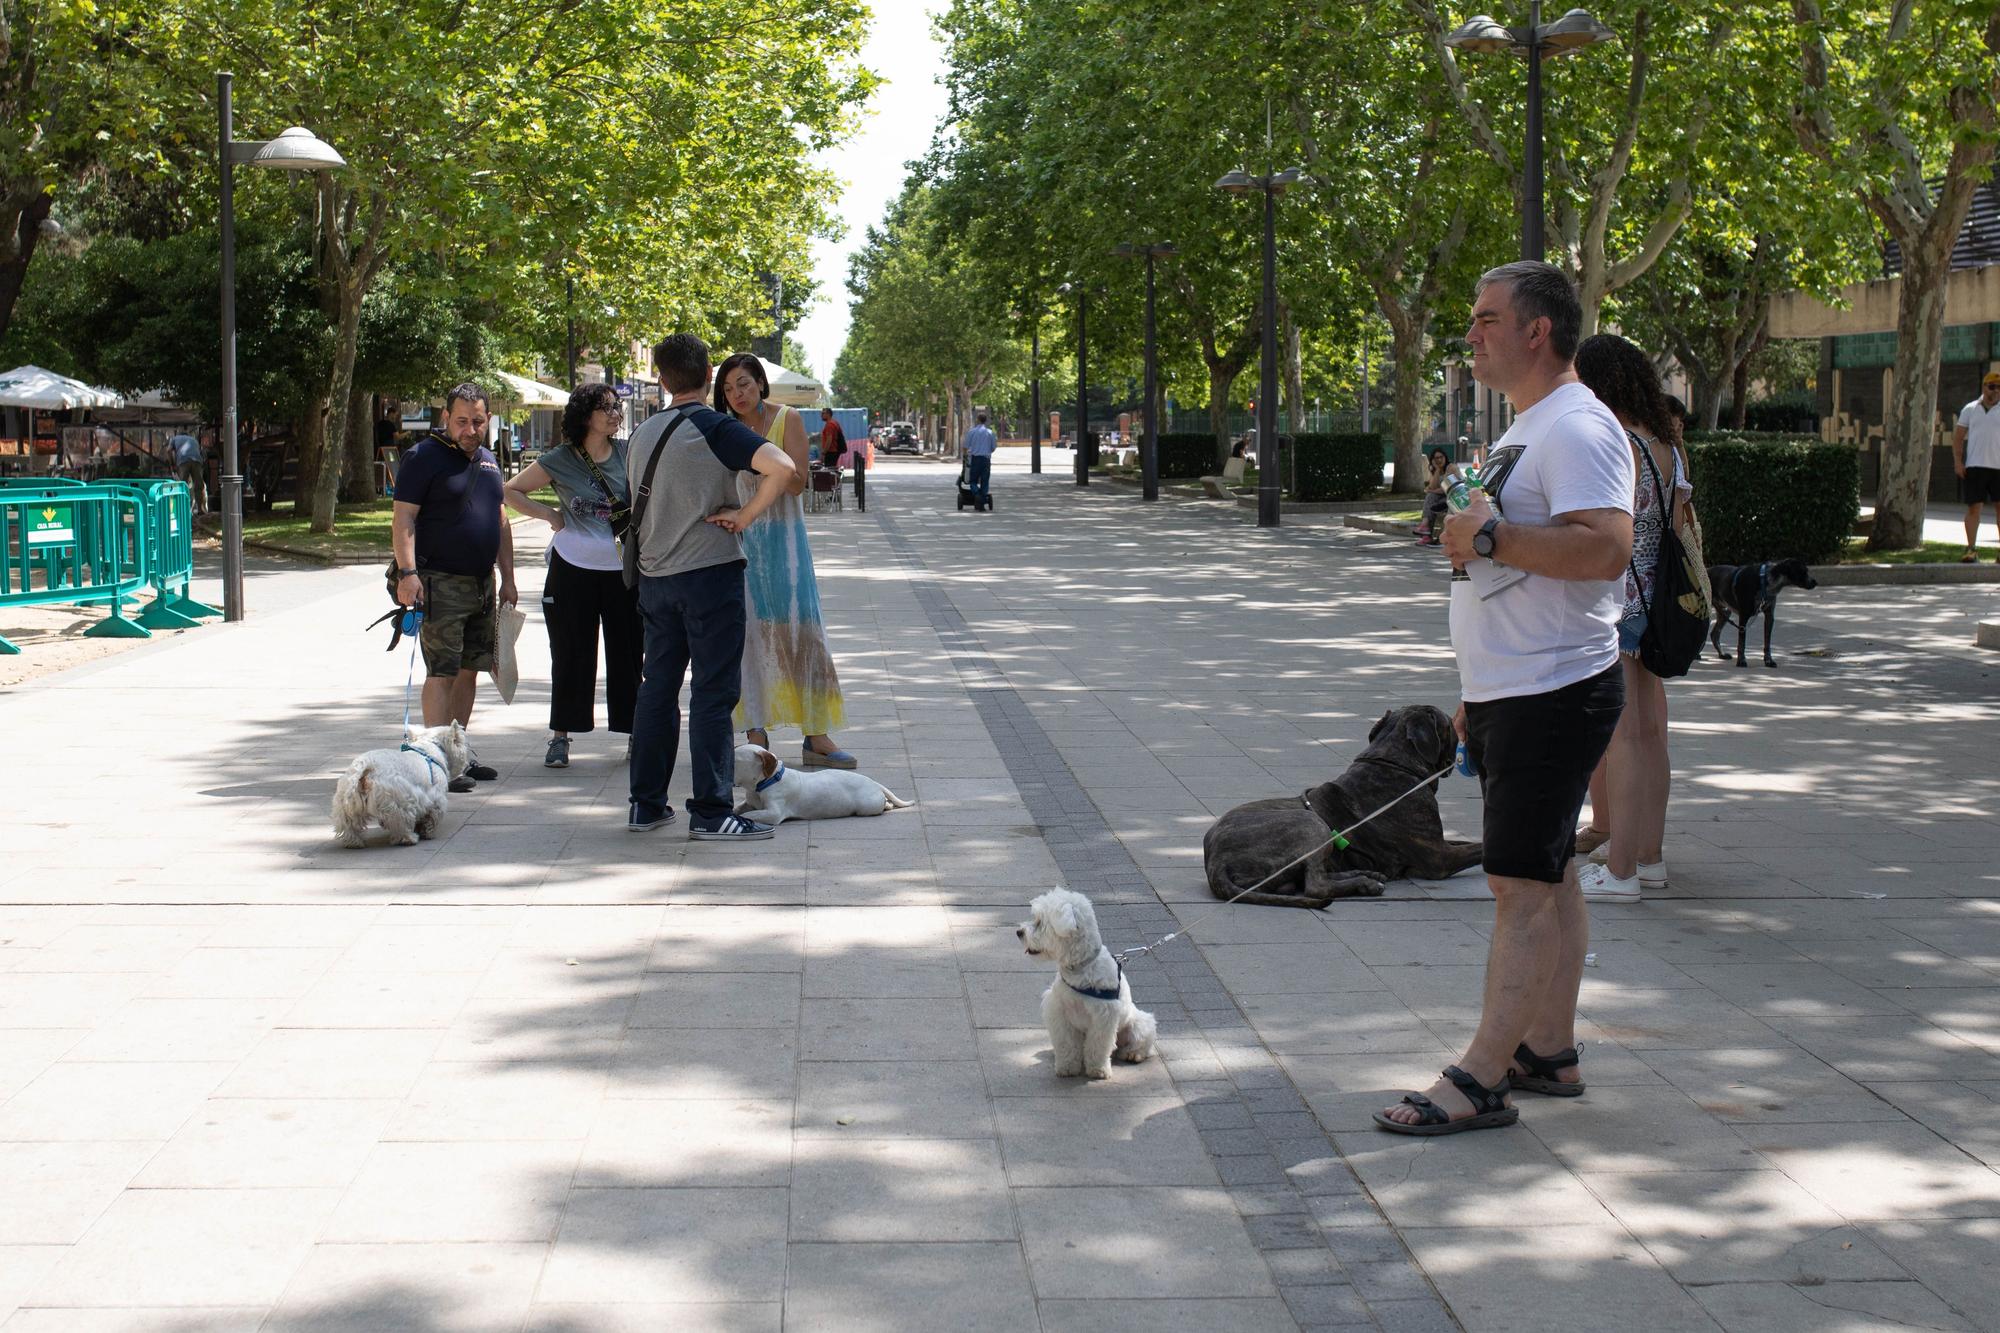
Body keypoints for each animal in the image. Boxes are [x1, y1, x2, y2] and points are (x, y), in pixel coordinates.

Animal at [332, 720, 468, 844]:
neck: (429, 748)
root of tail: (367, 766)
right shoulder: (436, 798)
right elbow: (432, 816)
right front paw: (428, 832)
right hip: (399, 801)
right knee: (401, 823)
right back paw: (409, 838)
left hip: (346, 802)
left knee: (349, 825)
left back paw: (353, 842)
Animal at [732, 736, 916, 820]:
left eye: (736, 761)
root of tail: (873, 782)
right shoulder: (749, 803)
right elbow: (740, 808)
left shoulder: (774, 813)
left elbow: (751, 815)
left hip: (867, 807)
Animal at [1016, 888, 1160, 1072]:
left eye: (1040, 922)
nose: (1019, 932)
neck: (1080, 968)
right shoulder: (1059, 1012)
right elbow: (1067, 1044)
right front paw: (1067, 1067)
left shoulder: (1103, 1018)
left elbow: (1097, 1046)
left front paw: (1098, 1069)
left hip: (1139, 1024)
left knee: (1140, 1044)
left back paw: (1134, 1054)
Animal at [1200, 700, 1488, 908]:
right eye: (1451, 724)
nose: (1465, 734)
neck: (1394, 764)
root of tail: (1216, 860)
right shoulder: (1440, 858)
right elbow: (1479, 849)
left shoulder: (1440, 843)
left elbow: (1469, 841)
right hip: (1310, 823)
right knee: (1316, 886)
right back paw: (1365, 883)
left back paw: (1366, 876)